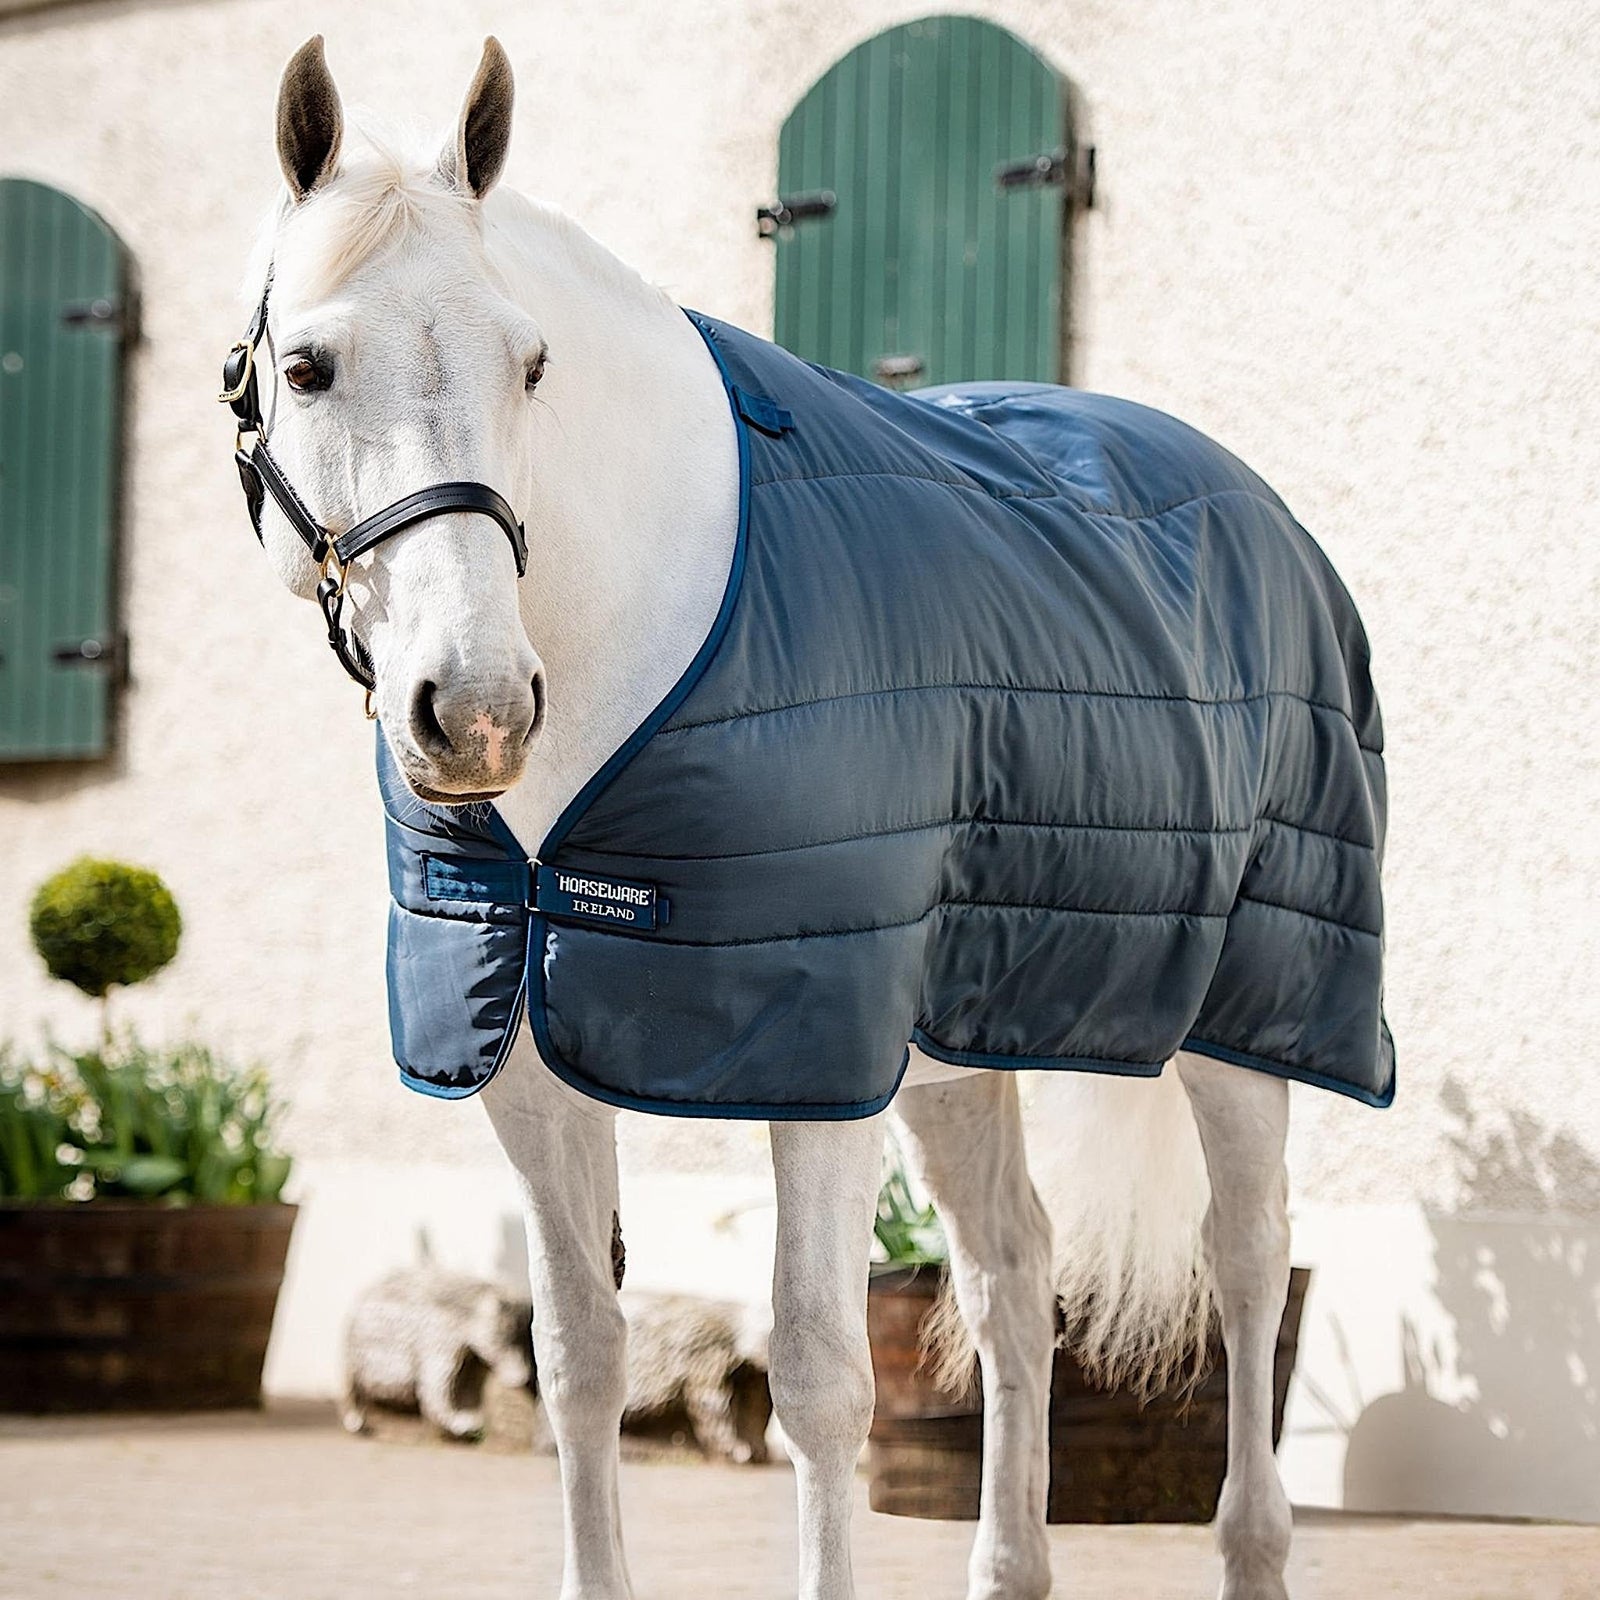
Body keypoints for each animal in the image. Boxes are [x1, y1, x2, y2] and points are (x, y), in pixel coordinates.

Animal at [234, 36, 1392, 1600]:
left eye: (532, 363)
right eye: (306, 367)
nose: (473, 710)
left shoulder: (811, 1052)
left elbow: (823, 1383)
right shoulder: (531, 1062)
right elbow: (578, 1364)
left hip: (1247, 1016)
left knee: (1249, 1263)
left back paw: (1252, 1541)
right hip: (964, 1046)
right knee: (1016, 1276)